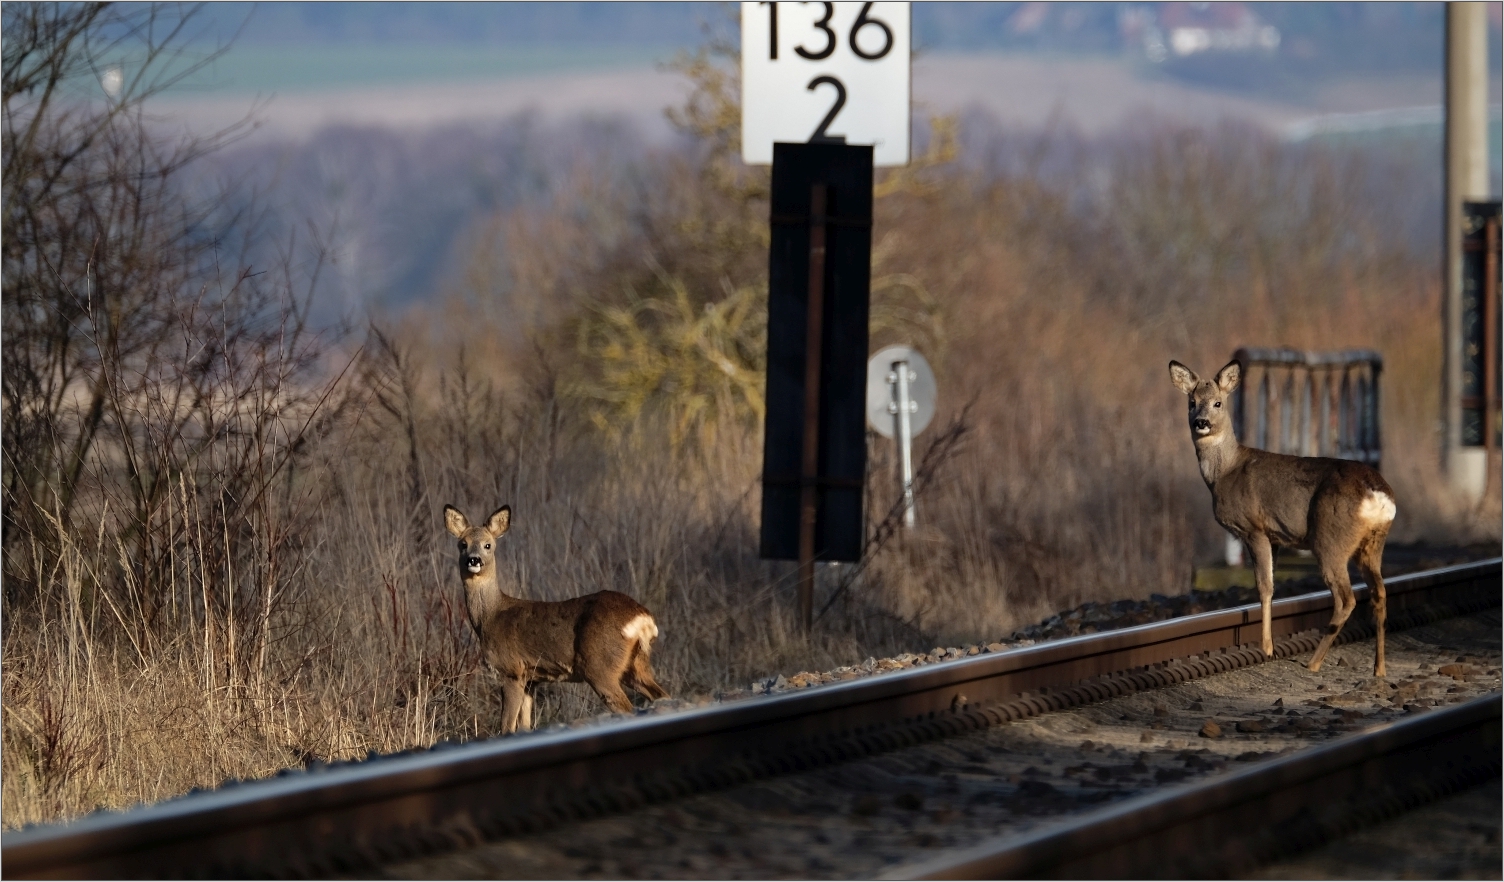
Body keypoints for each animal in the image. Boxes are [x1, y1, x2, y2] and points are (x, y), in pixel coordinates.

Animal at [439, 502, 667, 728]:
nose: (473, 560)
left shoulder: (511, 670)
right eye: (463, 544)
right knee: (662, 697)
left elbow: (507, 727)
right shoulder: (531, 678)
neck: (490, 617)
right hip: (635, 666)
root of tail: (642, 617)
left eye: (488, 545)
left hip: (601, 666)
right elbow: (525, 726)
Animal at [1173, 356, 1395, 674]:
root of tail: (1378, 494)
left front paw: (1267, 649)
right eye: (1191, 402)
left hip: (1330, 538)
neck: (1225, 472)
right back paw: (1379, 669)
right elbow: (1272, 586)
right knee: (1379, 594)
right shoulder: (1275, 536)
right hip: (1373, 543)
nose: (1201, 422)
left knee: (1346, 598)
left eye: (1218, 403)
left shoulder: (1253, 528)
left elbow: (1264, 587)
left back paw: (1314, 662)